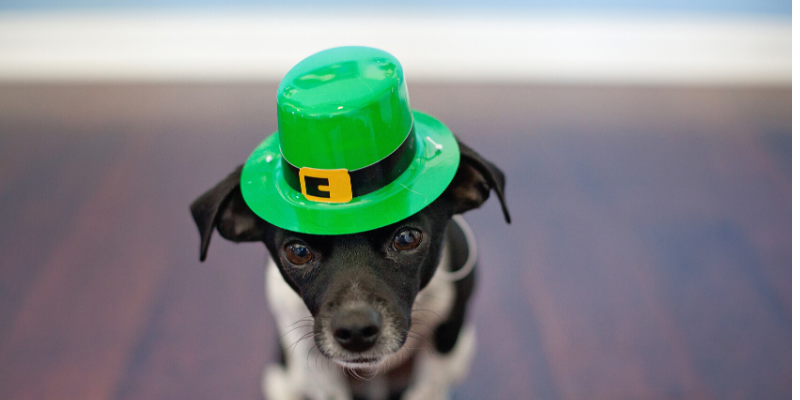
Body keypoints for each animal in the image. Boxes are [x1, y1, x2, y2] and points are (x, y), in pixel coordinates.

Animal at [191, 138, 510, 400]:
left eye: (407, 238)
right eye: (297, 252)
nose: (355, 330)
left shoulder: (448, 338)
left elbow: (427, 388)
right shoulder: (309, 357)